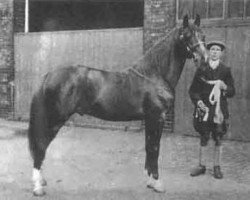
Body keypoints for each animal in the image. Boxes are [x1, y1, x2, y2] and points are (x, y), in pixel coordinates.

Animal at [27, 15, 207, 195]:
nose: (203, 59)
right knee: (40, 145)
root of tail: (49, 75)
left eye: (203, 35)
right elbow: (155, 148)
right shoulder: (157, 117)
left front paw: (150, 181)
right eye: (187, 35)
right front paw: (157, 183)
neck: (154, 74)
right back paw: (37, 187)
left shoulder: (150, 119)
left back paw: (41, 181)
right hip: (55, 120)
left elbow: (149, 147)